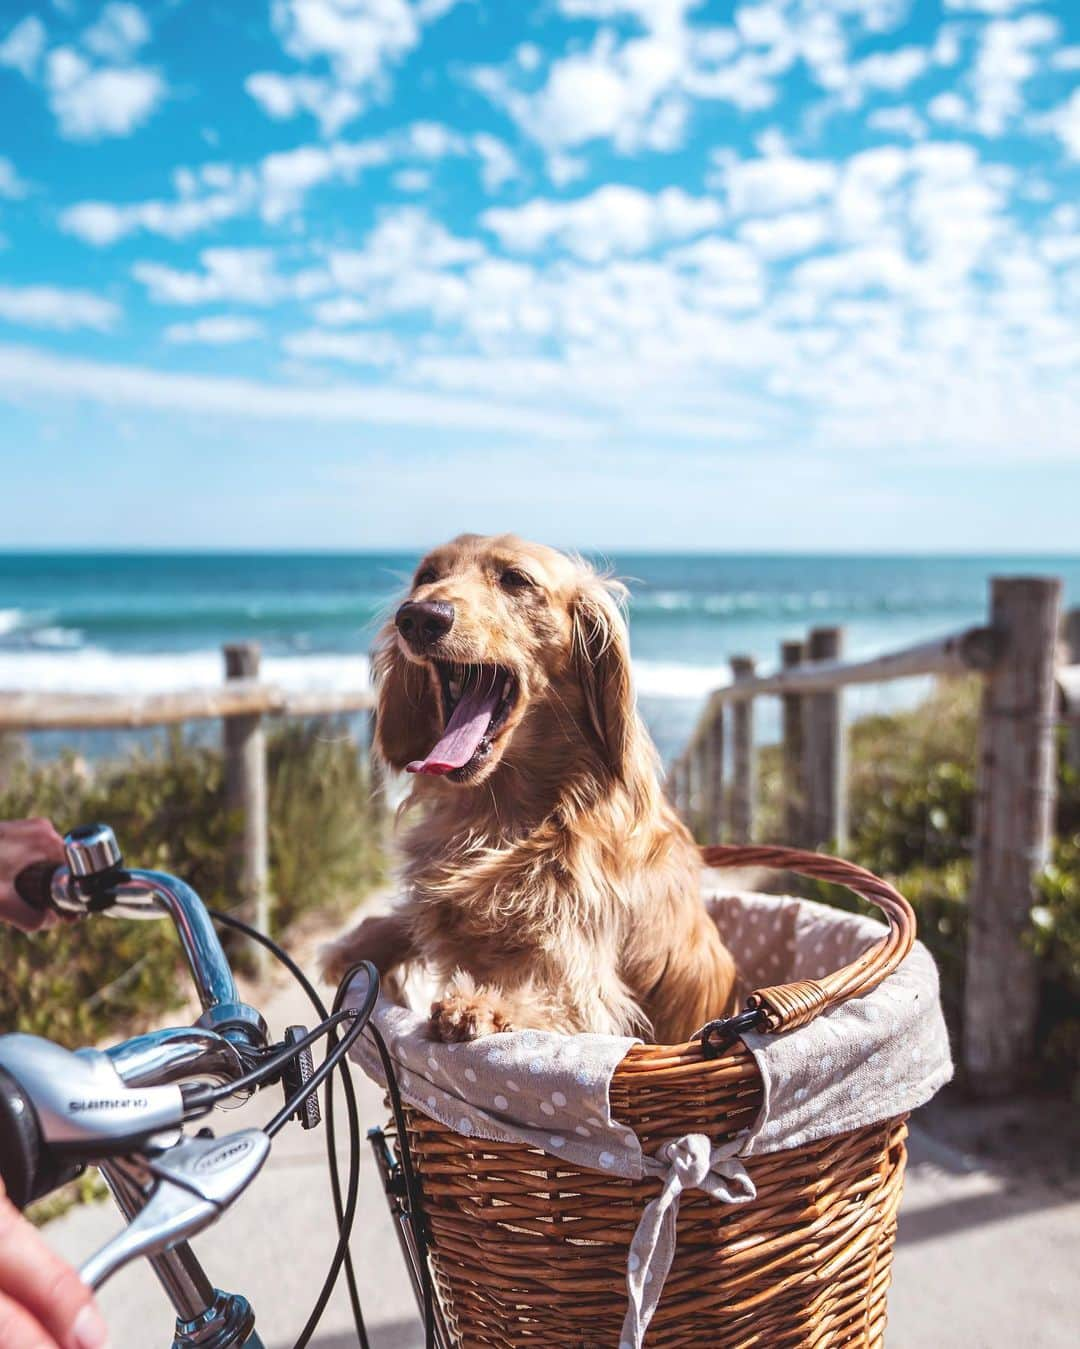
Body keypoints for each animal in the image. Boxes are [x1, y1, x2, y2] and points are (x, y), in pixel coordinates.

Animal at [320, 534, 738, 1041]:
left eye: (515, 579)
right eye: (427, 576)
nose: (419, 617)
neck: (505, 814)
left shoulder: (583, 987)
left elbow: (543, 1000)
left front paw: (476, 1006)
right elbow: (413, 914)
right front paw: (352, 944)